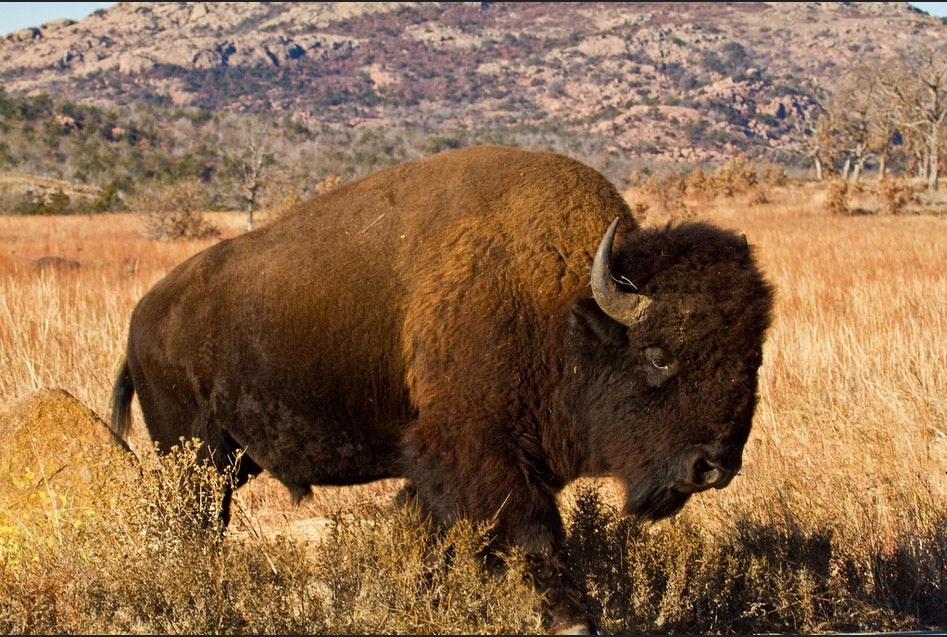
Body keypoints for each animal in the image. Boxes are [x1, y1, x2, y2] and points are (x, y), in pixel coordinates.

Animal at [115, 145, 772, 636]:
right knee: (195, 525)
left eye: (753, 358)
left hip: (230, 459)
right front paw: (572, 620)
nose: (713, 466)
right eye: (659, 355)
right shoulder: (478, 454)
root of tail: (143, 317)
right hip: (196, 457)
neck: (562, 311)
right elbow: (533, 537)